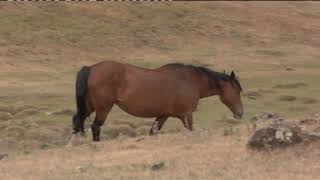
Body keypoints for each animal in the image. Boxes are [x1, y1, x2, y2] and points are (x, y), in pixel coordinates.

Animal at [72, 61, 242, 141]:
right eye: (237, 91)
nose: (240, 113)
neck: (191, 80)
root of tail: (91, 68)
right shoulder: (187, 115)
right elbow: (190, 130)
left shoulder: (163, 115)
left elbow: (153, 132)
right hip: (103, 108)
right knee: (95, 127)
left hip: (89, 106)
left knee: (77, 121)